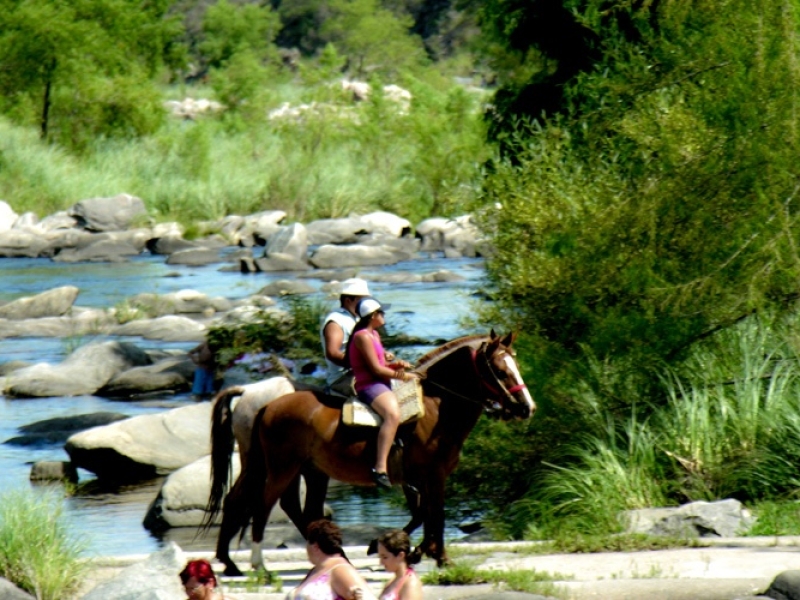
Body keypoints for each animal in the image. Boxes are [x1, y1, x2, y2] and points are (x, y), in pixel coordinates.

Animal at [208, 330, 532, 576]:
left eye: (516, 365)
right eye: (500, 370)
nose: (526, 407)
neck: (436, 407)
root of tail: (265, 403)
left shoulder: (418, 480)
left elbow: (424, 514)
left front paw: (414, 551)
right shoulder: (433, 476)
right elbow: (435, 514)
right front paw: (439, 557)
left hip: (304, 469)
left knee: (289, 507)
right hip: (279, 467)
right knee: (261, 506)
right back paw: (256, 565)